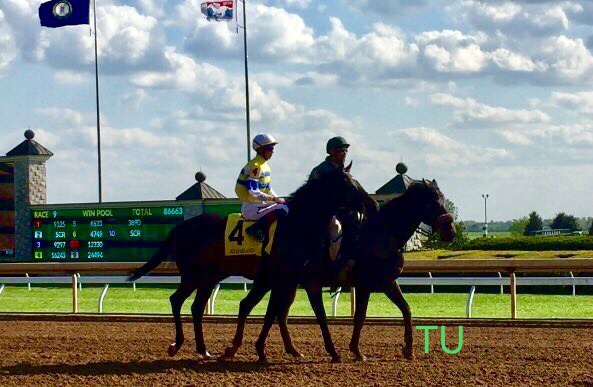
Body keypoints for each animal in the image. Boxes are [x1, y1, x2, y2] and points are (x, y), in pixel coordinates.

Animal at [128, 168, 374, 360]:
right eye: (349, 183)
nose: (371, 204)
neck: (298, 225)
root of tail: (178, 229)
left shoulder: (282, 280)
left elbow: (271, 311)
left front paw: (266, 349)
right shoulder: (293, 279)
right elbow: (305, 313)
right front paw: (332, 352)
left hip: (209, 277)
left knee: (196, 307)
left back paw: (203, 350)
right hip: (193, 275)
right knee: (176, 300)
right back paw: (177, 344)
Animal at [222, 179, 454, 364]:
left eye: (443, 199)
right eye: (433, 202)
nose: (450, 231)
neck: (381, 234)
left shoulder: (387, 282)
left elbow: (406, 309)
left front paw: (408, 349)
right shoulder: (364, 284)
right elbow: (360, 316)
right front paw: (357, 351)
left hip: (280, 282)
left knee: (268, 309)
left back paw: (271, 350)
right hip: (281, 281)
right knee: (264, 308)